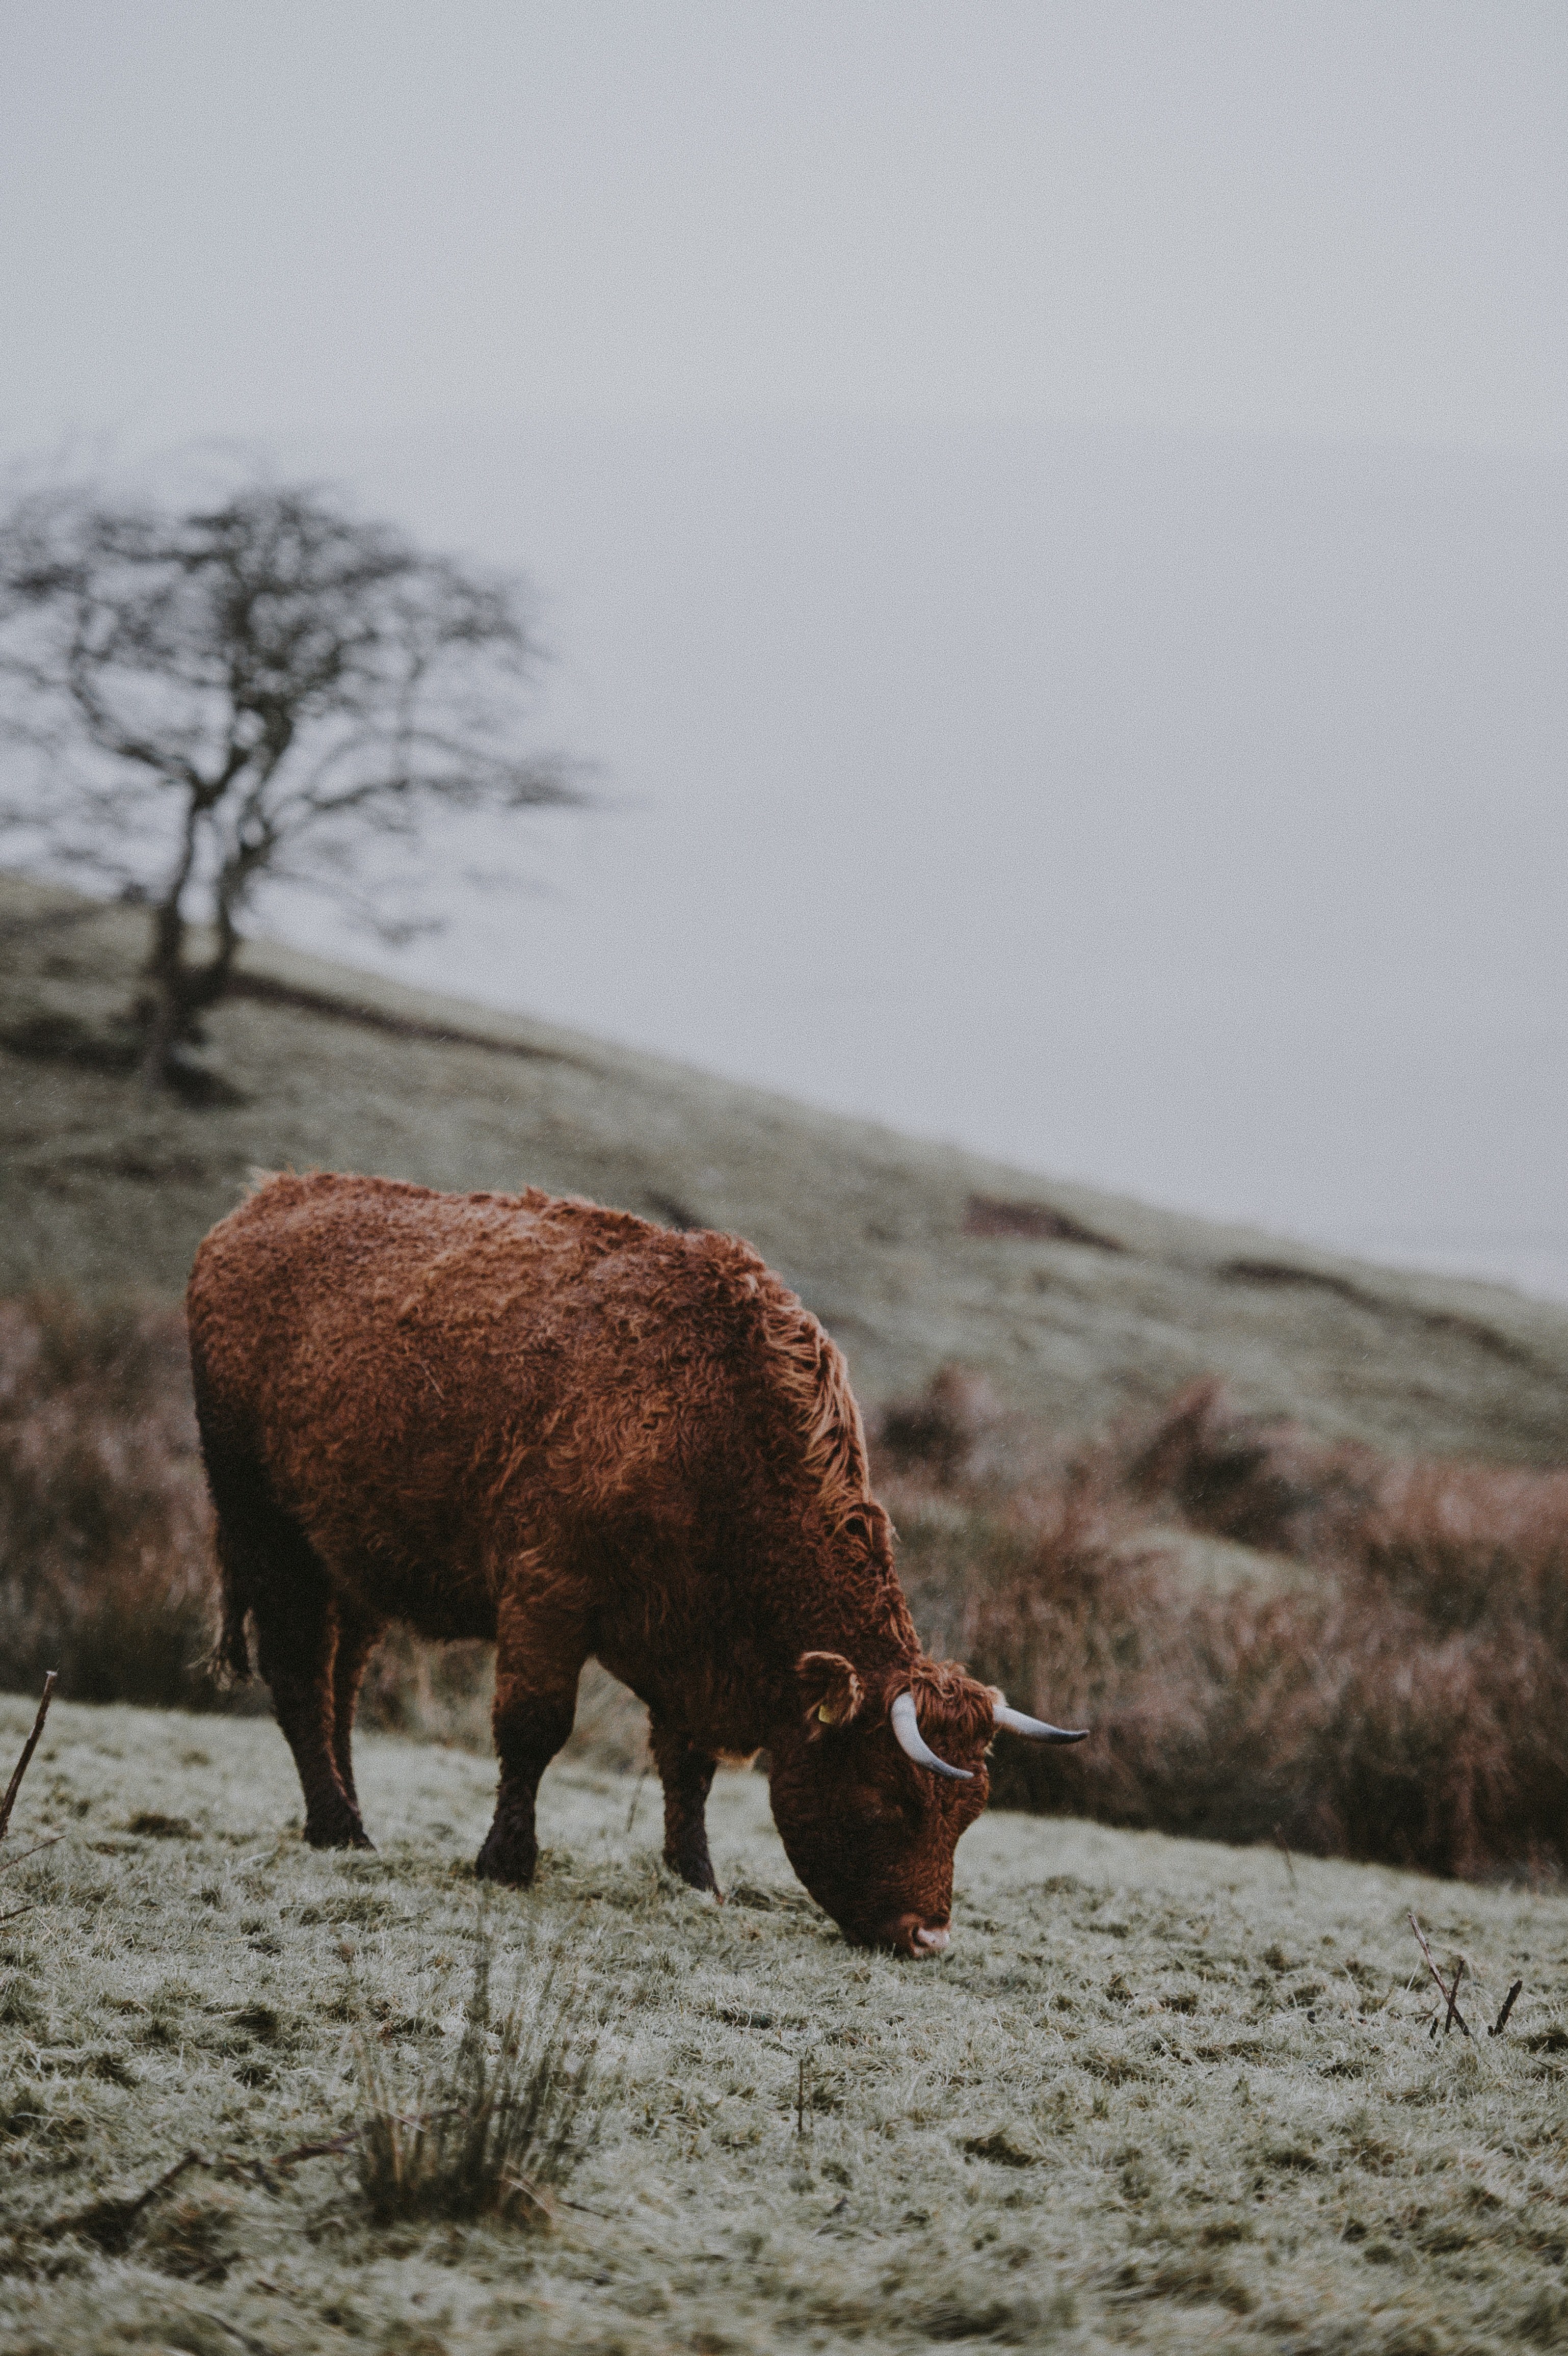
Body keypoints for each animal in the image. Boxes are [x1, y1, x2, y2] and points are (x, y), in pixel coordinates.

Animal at [186, 1173, 1084, 1954]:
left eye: (968, 1814)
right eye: (888, 1799)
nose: (928, 1936)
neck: (709, 1418)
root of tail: (264, 1202)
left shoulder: (686, 1639)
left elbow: (688, 1766)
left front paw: (696, 1876)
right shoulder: (546, 1592)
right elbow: (534, 1727)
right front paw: (505, 1861)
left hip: (351, 1561)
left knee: (339, 1682)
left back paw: (348, 1815)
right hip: (267, 1531)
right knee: (298, 1671)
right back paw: (337, 1826)